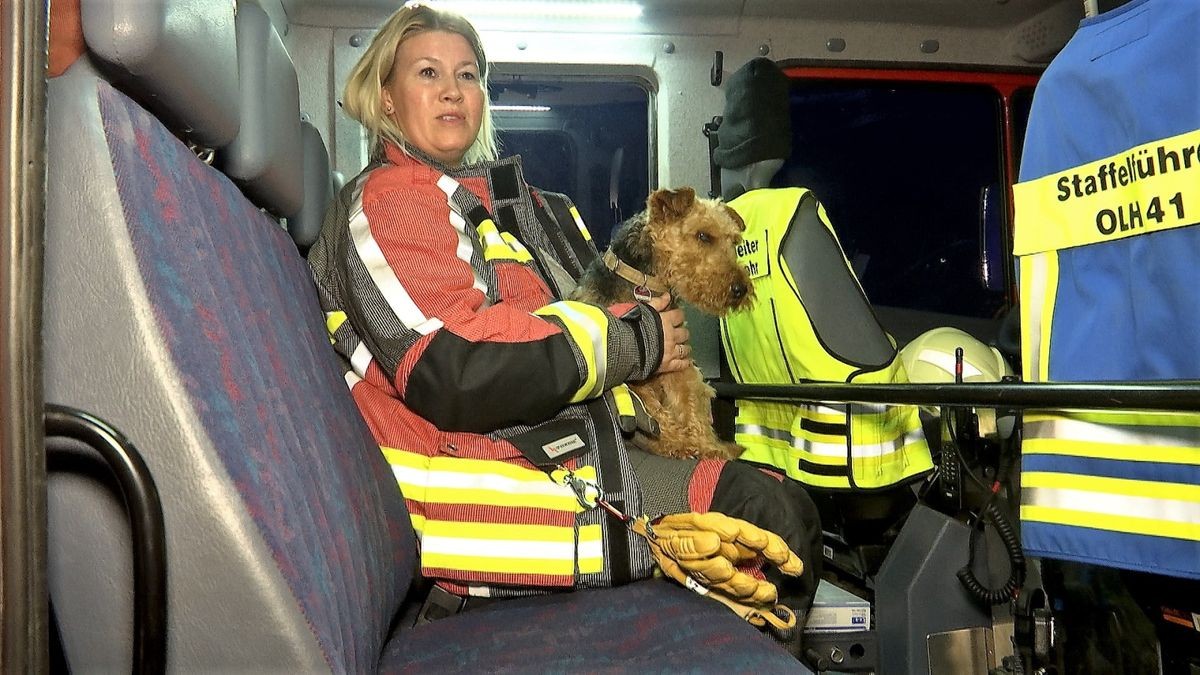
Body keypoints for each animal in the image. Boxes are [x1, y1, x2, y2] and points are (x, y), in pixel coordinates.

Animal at [568, 184, 748, 456]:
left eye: (734, 242)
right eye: (703, 235)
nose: (740, 289)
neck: (645, 283)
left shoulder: (679, 365)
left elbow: (689, 409)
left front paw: (707, 446)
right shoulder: (637, 379)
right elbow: (657, 416)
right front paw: (683, 445)